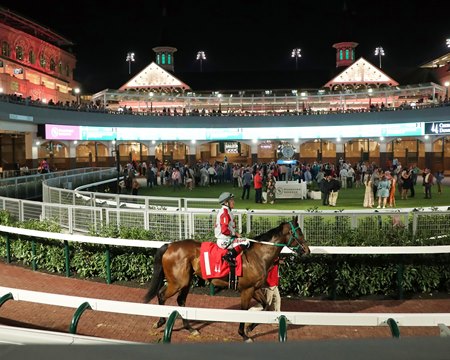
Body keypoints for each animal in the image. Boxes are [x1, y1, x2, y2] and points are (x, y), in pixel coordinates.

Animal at [144, 215, 310, 342]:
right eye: (299, 233)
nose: (307, 251)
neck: (258, 255)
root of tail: (169, 245)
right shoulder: (247, 290)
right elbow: (245, 310)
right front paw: (244, 334)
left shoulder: (253, 288)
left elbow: (265, 305)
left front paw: (250, 327)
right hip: (178, 282)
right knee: (162, 295)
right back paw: (160, 321)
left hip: (186, 281)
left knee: (181, 301)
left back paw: (190, 328)